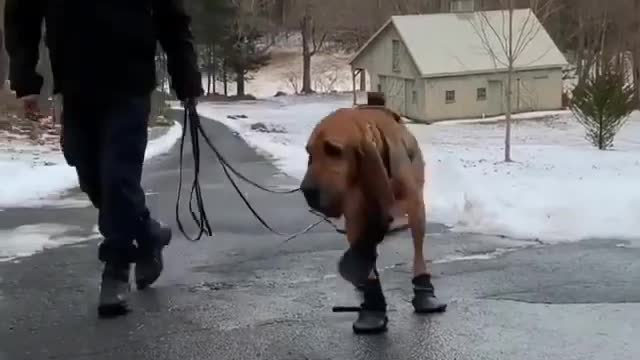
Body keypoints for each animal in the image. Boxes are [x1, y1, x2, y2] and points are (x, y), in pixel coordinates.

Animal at [300, 102, 444, 334]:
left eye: (334, 150)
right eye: (309, 153)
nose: (307, 191)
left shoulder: (415, 206)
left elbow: (418, 253)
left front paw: (424, 292)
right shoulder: (356, 216)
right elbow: (364, 253)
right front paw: (372, 308)